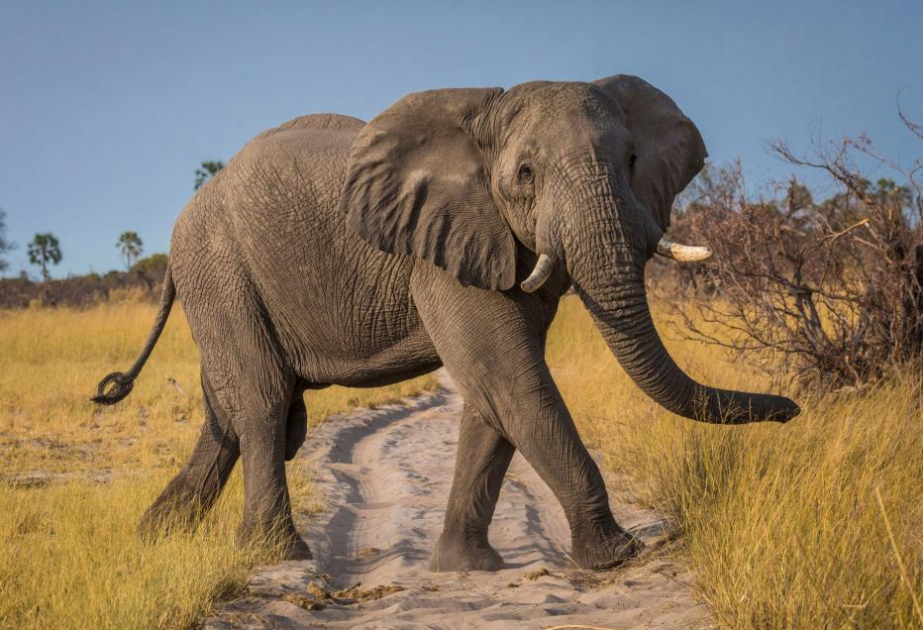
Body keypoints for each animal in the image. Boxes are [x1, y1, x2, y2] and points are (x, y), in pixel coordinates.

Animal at [92, 74, 800, 572]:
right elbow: (513, 379)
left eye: (631, 162)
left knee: (231, 410)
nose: (793, 410)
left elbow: (493, 397)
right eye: (525, 174)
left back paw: (154, 538)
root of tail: (186, 218)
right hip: (220, 266)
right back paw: (275, 555)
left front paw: (467, 568)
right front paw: (616, 557)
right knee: (263, 402)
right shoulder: (445, 247)